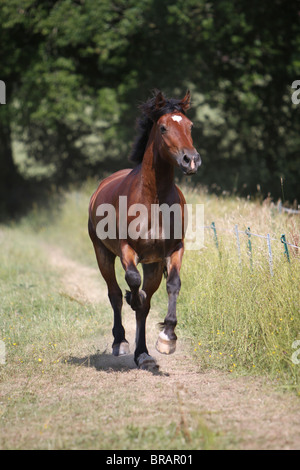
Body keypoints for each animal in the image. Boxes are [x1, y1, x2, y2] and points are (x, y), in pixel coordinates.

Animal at [89, 90, 202, 370]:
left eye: (190, 126)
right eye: (163, 127)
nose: (191, 161)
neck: (153, 200)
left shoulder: (173, 250)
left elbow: (173, 285)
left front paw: (167, 338)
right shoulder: (127, 249)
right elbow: (132, 281)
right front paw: (134, 298)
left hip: (152, 265)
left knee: (145, 303)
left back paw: (143, 353)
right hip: (102, 253)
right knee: (115, 294)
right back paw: (121, 341)